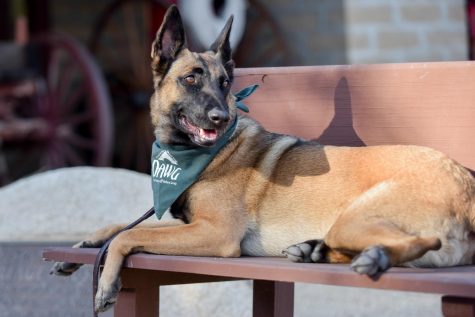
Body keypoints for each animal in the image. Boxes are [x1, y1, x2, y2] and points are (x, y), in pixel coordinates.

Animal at [51, 4, 475, 312]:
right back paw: (314, 251)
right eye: (190, 78)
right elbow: (121, 226)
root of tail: (466, 182)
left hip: (355, 217)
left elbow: (131, 235)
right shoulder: (193, 225)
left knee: (419, 242)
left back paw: (369, 259)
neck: (194, 155)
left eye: (225, 83)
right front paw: (85, 244)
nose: (221, 117)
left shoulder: (215, 233)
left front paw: (107, 279)